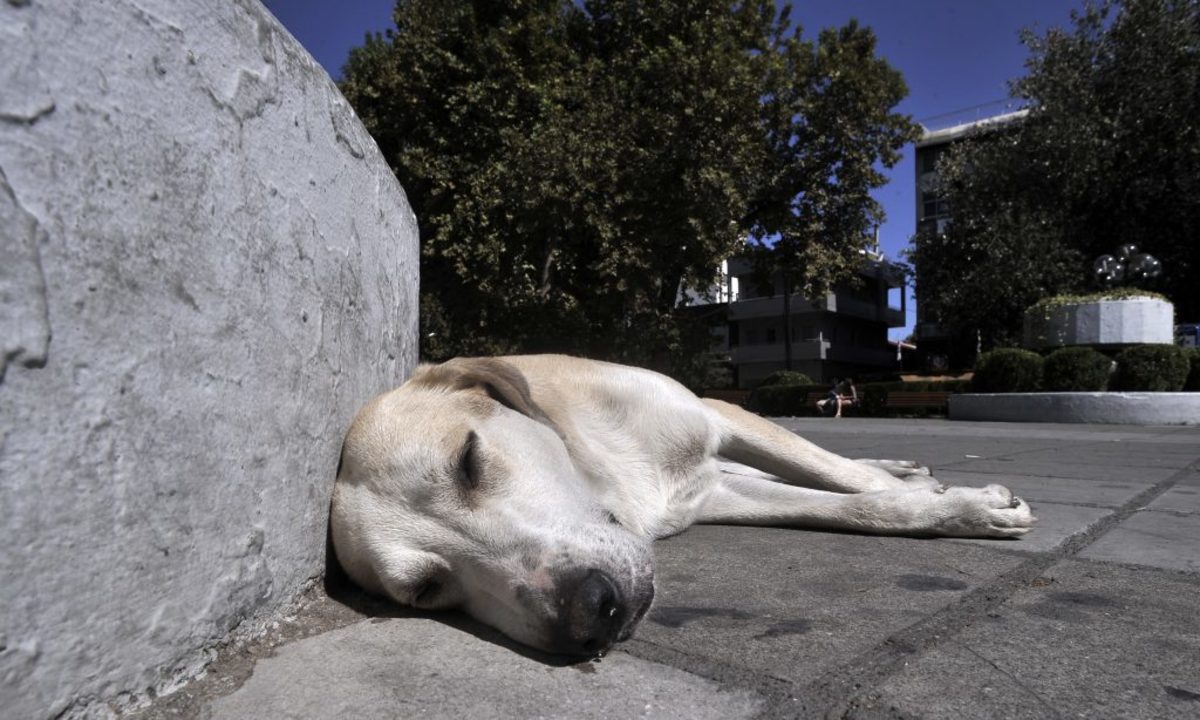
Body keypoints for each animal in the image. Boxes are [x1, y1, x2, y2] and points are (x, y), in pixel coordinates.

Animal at [328, 355, 1032, 657]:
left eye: (468, 461)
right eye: (426, 590)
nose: (592, 614)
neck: (610, 478)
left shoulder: (717, 414)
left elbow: (842, 477)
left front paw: (963, 503)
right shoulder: (717, 494)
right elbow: (845, 505)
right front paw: (940, 506)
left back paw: (904, 469)